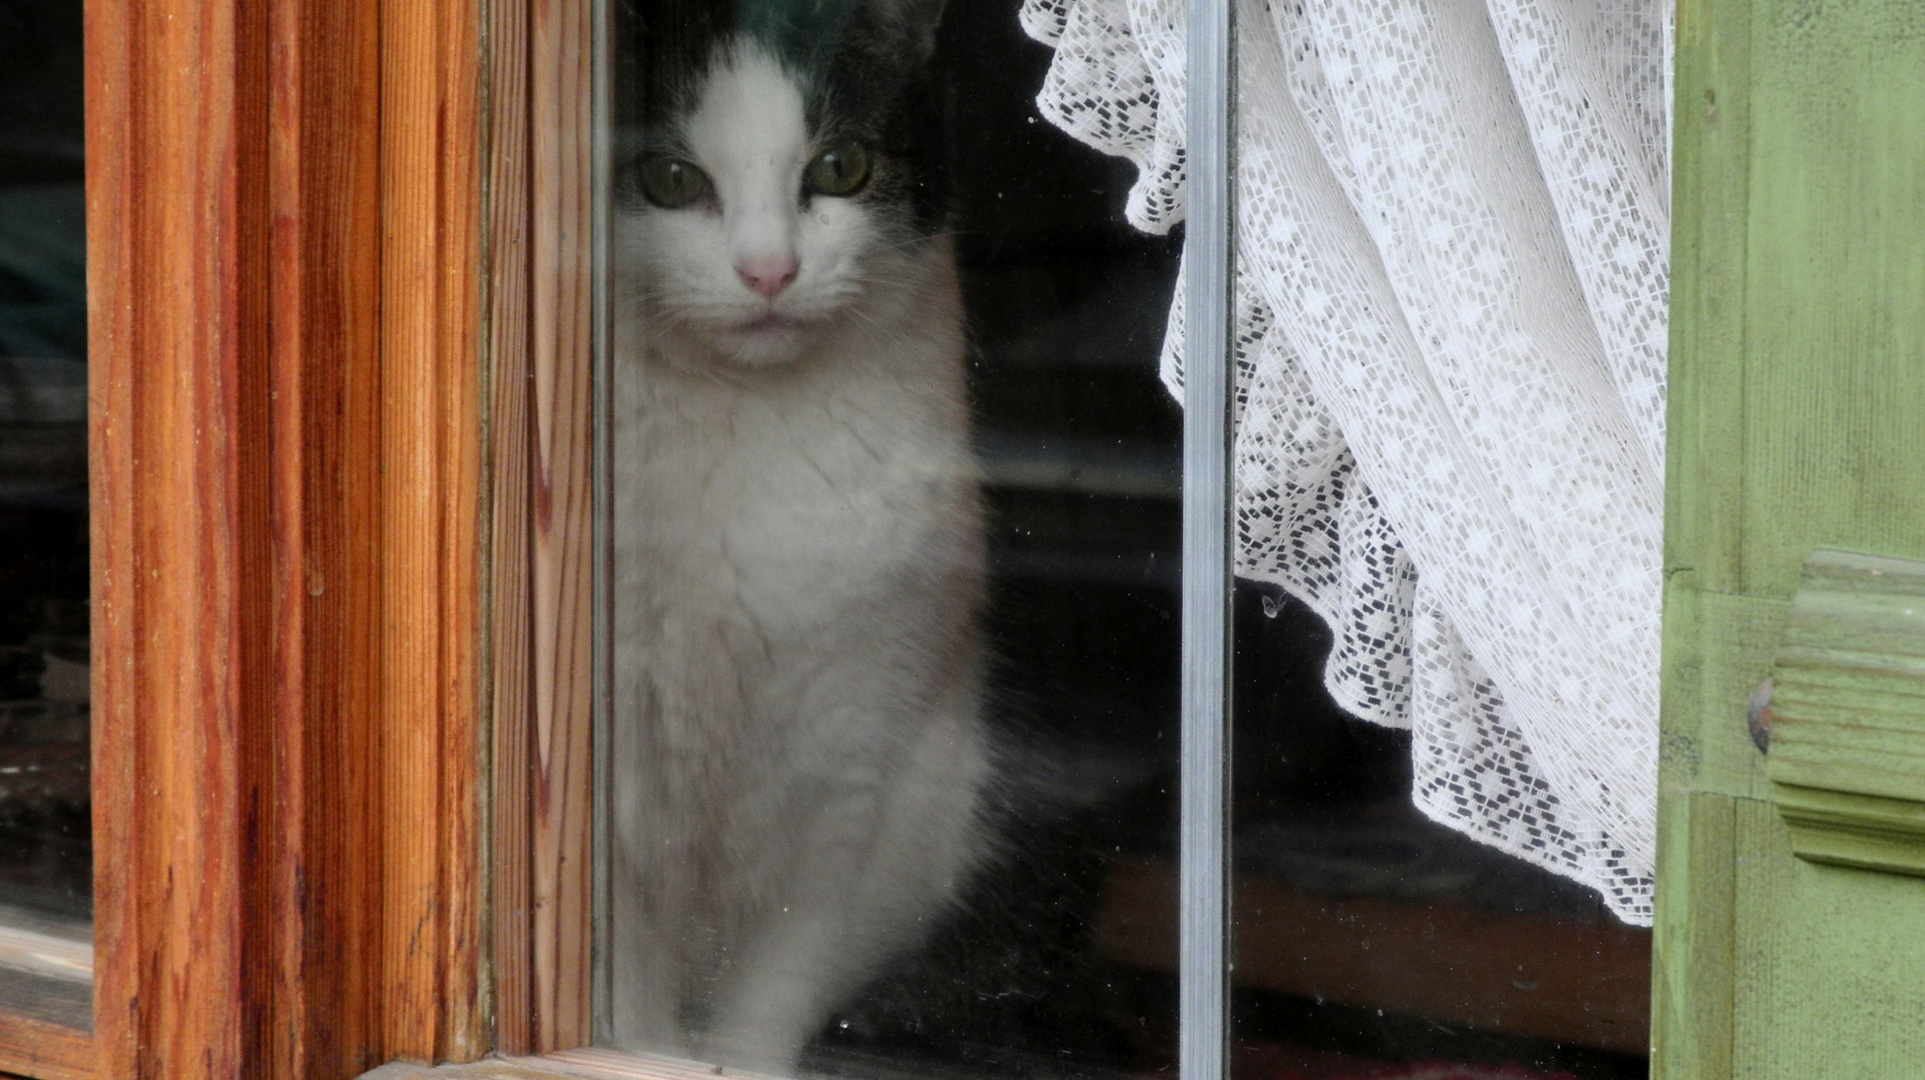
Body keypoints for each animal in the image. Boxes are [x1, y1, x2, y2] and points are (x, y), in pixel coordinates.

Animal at [604, 0, 993, 1062]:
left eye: (841, 168)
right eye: (670, 178)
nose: (769, 271)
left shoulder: (848, 771)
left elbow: (770, 997)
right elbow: (629, 1014)